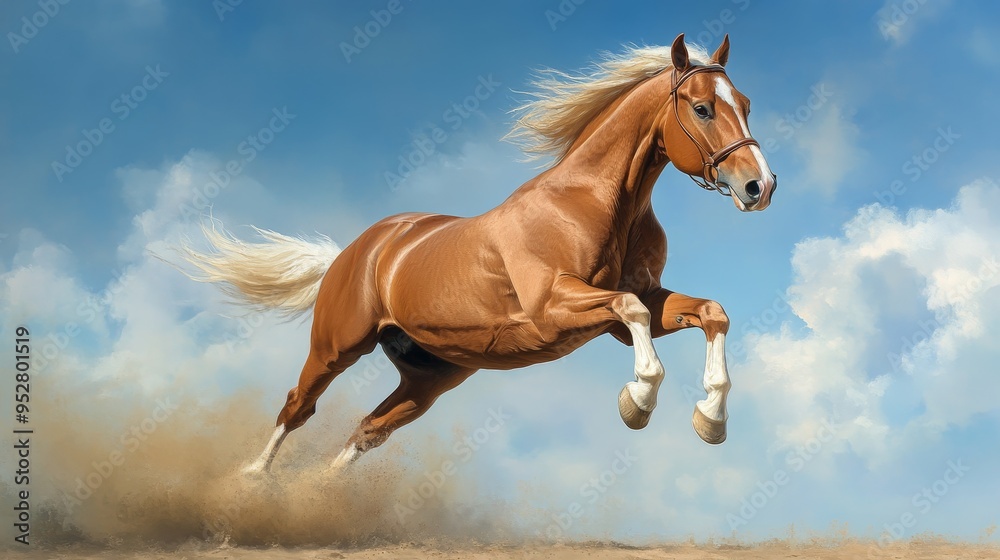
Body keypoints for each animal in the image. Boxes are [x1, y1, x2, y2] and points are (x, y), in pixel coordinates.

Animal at [177, 33, 776, 475]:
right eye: (702, 108)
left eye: (745, 105)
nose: (760, 187)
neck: (593, 202)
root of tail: (358, 249)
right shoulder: (557, 306)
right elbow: (632, 313)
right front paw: (638, 403)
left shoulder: (636, 309)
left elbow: (711, 312)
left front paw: (710, 419)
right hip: (337, 345)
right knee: (298, 405)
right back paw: (250, 484)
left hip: (431, 377)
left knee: (369, 430)